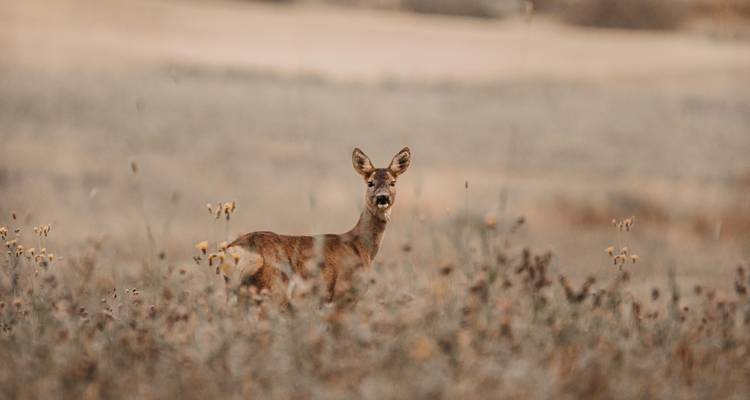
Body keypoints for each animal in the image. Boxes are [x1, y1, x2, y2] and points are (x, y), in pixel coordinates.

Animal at [226, 147, 411, 307]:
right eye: (370, 183)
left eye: (393, 182)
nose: (382, 198)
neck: (361, 247)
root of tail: (235, 250)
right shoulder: (343, 294)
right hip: (272, 290)